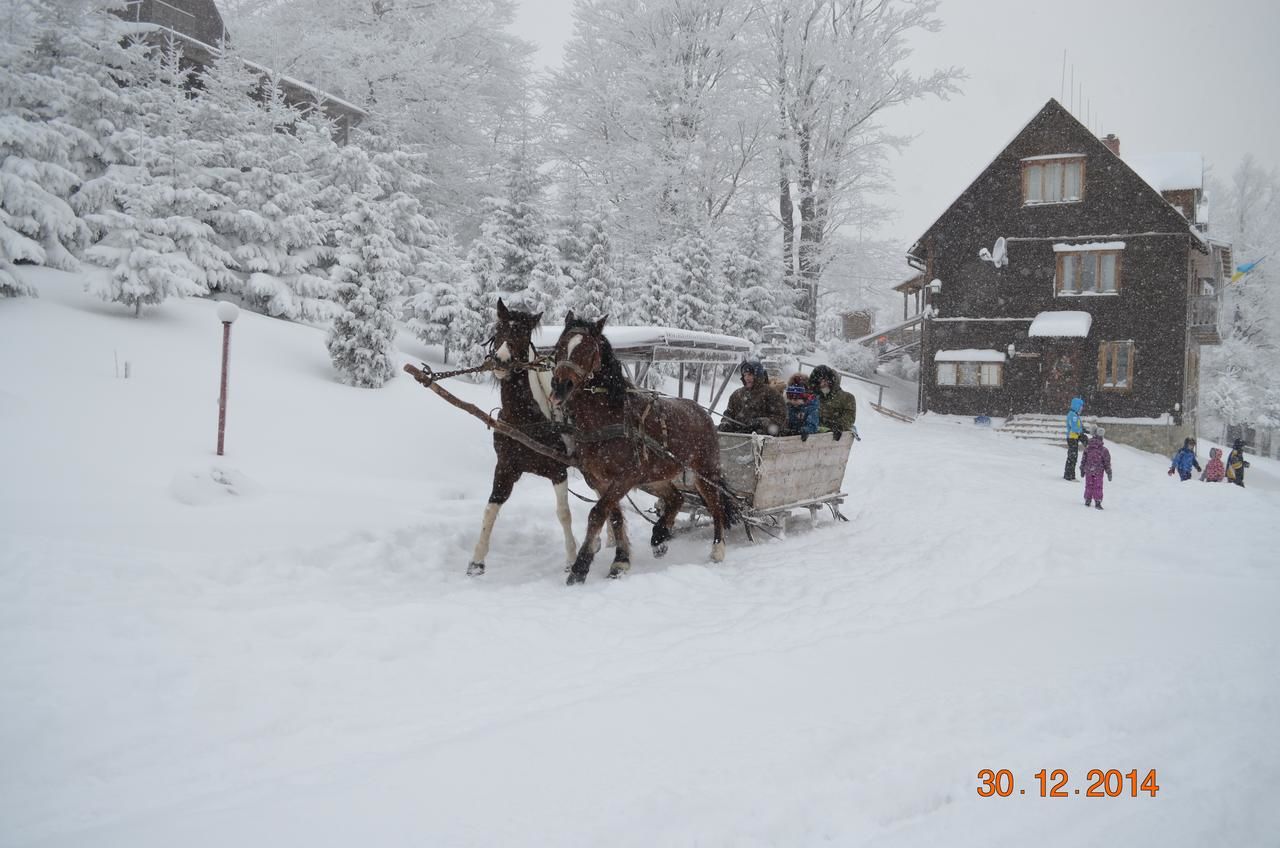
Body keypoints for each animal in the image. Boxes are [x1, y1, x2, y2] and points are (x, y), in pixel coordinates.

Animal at [471, 298, 624, 578]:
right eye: (498, 328)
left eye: (522, 334)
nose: (501, 361)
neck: (525, 418)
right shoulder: (506, 467)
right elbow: (490, 509)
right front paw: (476, 561)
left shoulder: (558, 471)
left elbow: (564, 514)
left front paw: (571, 559)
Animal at [545, 312, 737, 584]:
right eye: (560, 346)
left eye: (588, 349)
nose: (560, 385)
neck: (607, 417)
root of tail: (702, 412)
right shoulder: (599, 480)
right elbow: (614, 516)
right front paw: (620, 561)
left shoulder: (626, 476)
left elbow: (598, 513)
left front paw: (580, 567)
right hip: (655, 476)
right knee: (677, 498)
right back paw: (659, 537)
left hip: (704, 473)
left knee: (716, 505)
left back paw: (717, 549)